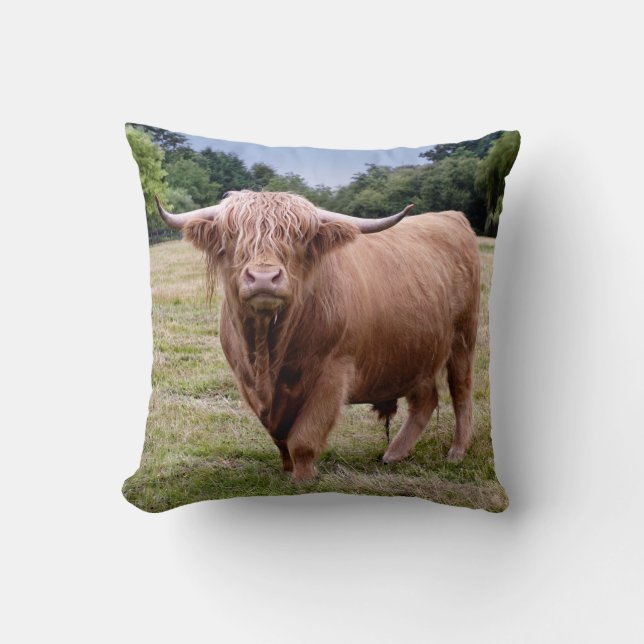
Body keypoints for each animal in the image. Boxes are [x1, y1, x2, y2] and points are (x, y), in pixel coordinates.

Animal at [155, 190, 480, 481]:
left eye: (298, 238)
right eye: (232, 236)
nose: (264, 278)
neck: (269, 352)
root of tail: (452, 216)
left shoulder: (333, 374)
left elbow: (303, 438)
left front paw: (303, 479)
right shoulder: (246, 380)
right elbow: (279, 436)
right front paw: (287, 470)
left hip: (463, 336)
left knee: (461, 389)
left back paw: (457, 452)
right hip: (416, 349)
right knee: (425, 399)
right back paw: (394, 454)